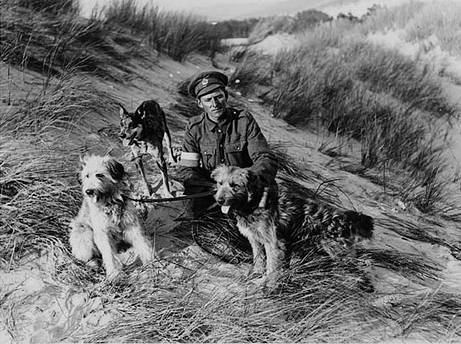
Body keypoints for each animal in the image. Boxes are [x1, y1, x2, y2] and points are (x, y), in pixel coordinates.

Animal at [210, 165, 372, 286]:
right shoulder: (255, 240)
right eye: (220, 183)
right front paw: (256, 274)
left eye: (235, 186)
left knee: (362, 267)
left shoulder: (273, 243)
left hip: (340, 252)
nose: (219, 200)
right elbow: (259, 259)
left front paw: (267, 284)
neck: (253, 203)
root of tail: (344, 219)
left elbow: (272, 266)